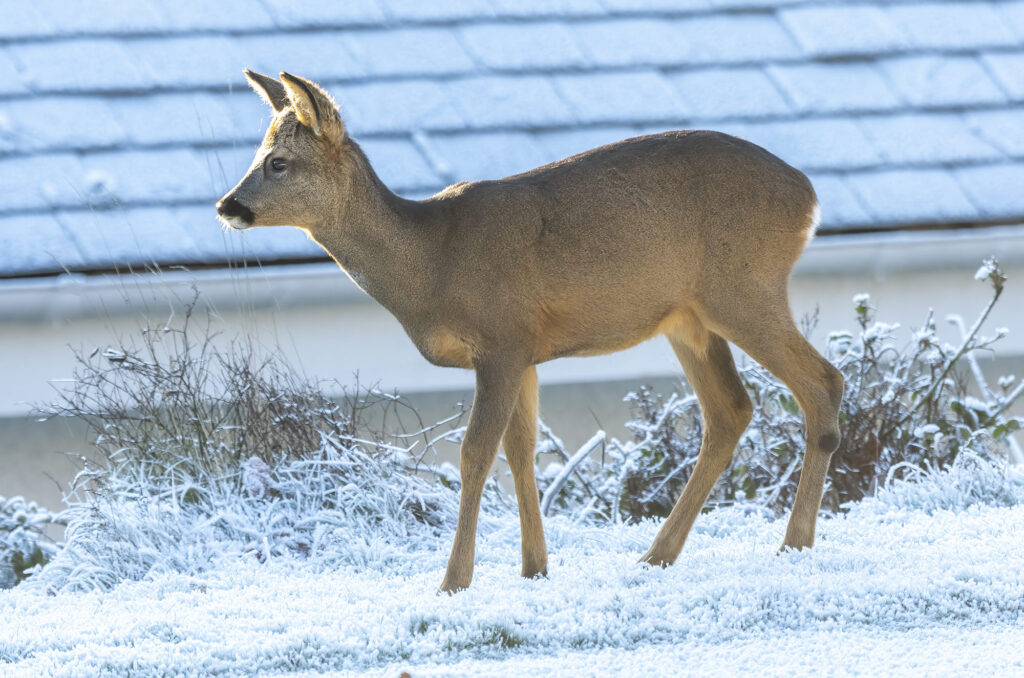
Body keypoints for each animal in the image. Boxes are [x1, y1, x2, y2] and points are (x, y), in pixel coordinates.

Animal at [214, 70, 839, 594]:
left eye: (278, 162)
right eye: (258, 153)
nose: (227, 205)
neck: (432, 263)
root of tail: (809, 196)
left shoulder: (502, 338)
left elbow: (475, 453)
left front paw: (454, 581)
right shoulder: (527, 353)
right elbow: (522, 450)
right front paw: (534, 568)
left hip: (744, 287)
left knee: (823, 382)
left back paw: (794, 544)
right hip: (689, 318)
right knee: (731, 410)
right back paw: (657, 554)